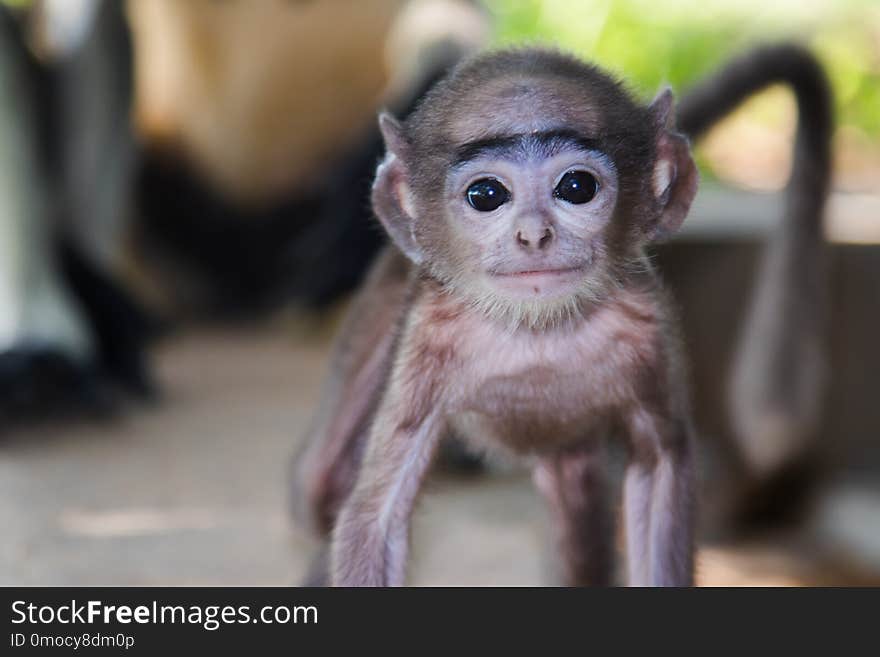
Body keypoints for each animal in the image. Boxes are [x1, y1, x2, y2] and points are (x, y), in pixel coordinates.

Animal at [300, 48, 696, 588]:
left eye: (577, 187)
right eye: (486, 195)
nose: (533, 235)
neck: (537, 331)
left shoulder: (648, 325)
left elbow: (660, 469)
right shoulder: (428, 331)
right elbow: (373, 516)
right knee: (322, 480)